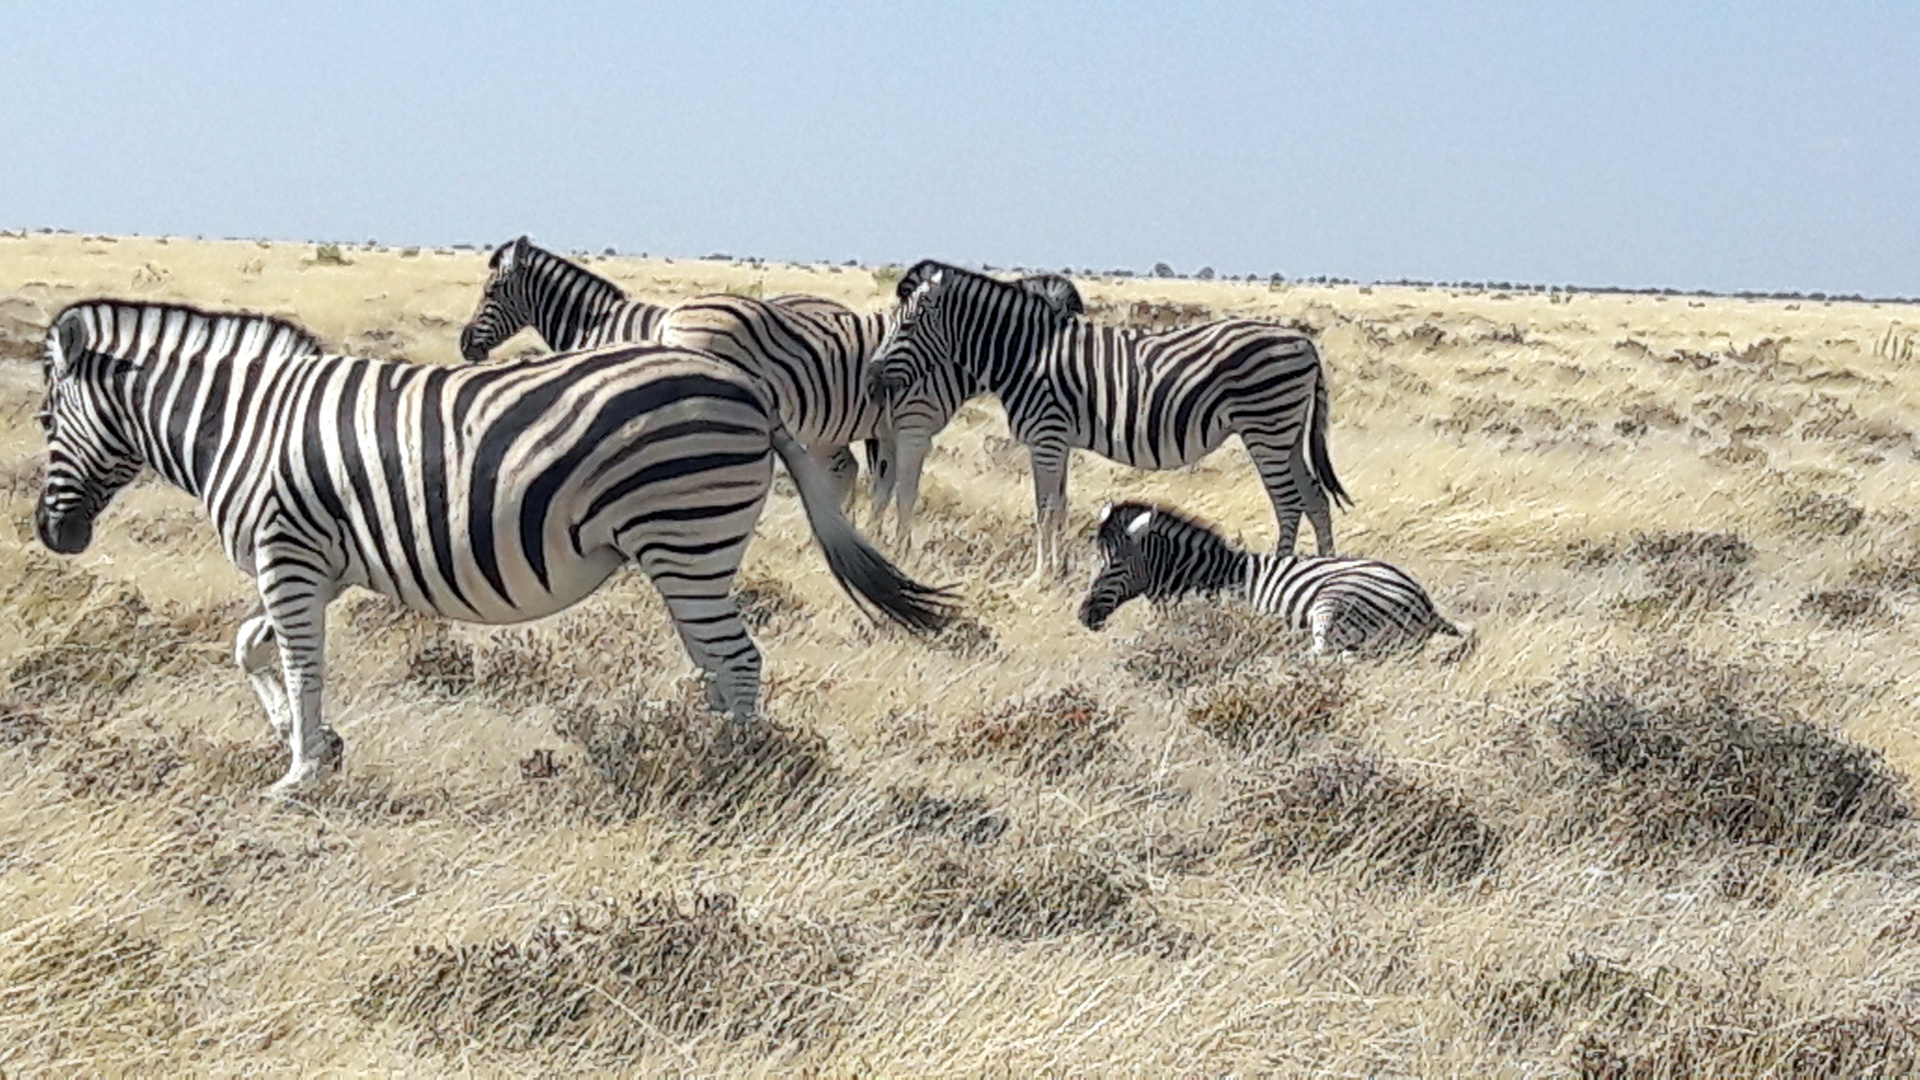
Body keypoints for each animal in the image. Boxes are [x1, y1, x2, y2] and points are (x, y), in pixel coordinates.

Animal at [35, 297, 952, 795]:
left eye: (43, 418)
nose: (54, 535)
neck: (246, 428)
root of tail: (750, 393)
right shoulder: (315, 567)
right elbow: (249, 649)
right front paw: (317, 747)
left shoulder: (287, 553)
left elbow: (300, 665)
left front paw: (296, 773)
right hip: (690, 553)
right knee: (719, 665)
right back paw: (709, 756)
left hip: (686, 541)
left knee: (738, 661)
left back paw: (734, 772)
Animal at [864, 259, 1344, 576]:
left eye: (906, 327)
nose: (871, 375)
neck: (1026, 355)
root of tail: (1303, 342)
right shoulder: (1057, 440)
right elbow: (1059, 508)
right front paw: (1057, 572)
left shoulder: (1046, 436)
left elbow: (1043, 509)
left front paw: (1039, 577)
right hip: (1285, 435)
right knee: (1316, 499)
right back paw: (1326, 568)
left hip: (1265, 428)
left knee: (1289, 504)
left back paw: (1280, 574)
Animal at [1075, 499, 1459, 657]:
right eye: (1093, 563)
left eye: (1115, 565)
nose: (1083, 616)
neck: (1206, 575)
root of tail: (1424, 602)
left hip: (1332, 600)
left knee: (1322, 655)